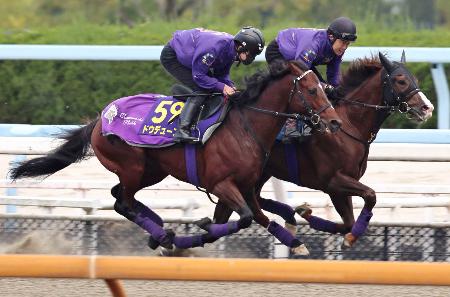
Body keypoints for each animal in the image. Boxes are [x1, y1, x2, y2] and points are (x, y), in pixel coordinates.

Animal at [9, 59, 342, 252]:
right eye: (312, 90)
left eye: (323, 87)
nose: (334, 122)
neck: (245, 126)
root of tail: (102, 118)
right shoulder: (222, 184)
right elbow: (246, 218)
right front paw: (201, 226)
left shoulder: (245, 187)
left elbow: (256, 217)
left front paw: (295, 242)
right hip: (132, 165)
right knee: (123, 203)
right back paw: (162, 233)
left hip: (151, 170)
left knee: (121, 197)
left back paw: (162, 234)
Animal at [213, 52, 434, 249]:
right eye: (401, 81)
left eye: (414, 79)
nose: (427, 108)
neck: (349, 125)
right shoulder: (333, 181)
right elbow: (370, 196)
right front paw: (346, 235)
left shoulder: (342, 186)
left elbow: (348, 223)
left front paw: (308, 214)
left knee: (252, 201)